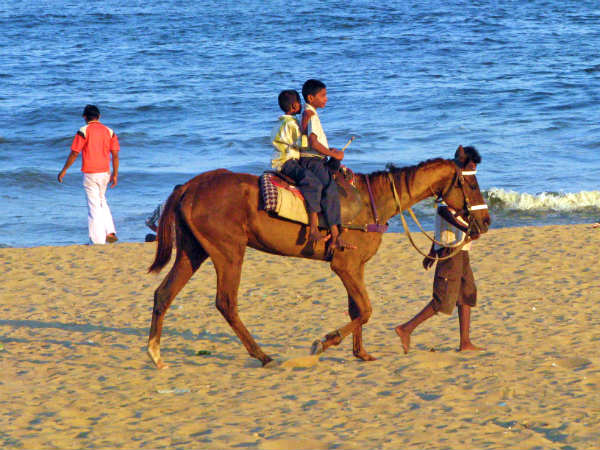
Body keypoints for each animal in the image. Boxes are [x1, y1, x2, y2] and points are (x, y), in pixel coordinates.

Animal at [148, 152, 490, 370]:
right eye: (471, 184)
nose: (485, 221)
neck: (372, 201)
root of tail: (189, 187)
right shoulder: (345, 265)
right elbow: (365, 310)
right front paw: (324, 342)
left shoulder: (355, 266)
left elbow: (357, 309)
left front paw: (361, 352)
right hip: (228, 251)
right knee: (226, 303)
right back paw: (263, 355)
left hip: (194, 251)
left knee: (164, 294)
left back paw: (155, 354)